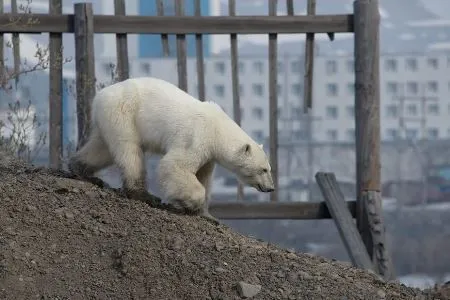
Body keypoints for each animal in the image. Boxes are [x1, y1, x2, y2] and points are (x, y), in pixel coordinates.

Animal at [67, 77, 274, 223]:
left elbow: (204, 176)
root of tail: (100, 96)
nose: (271, 188)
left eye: (269, 169)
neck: (218, 129)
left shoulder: (208, 155)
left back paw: (79, 167)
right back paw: (143, 194)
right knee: (129, 151)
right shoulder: (197, 137)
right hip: (124, 113)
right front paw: (189, 203)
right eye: (263, 169)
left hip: (109, 119)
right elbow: (175, 165)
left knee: (102, 148)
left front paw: (207, 214)